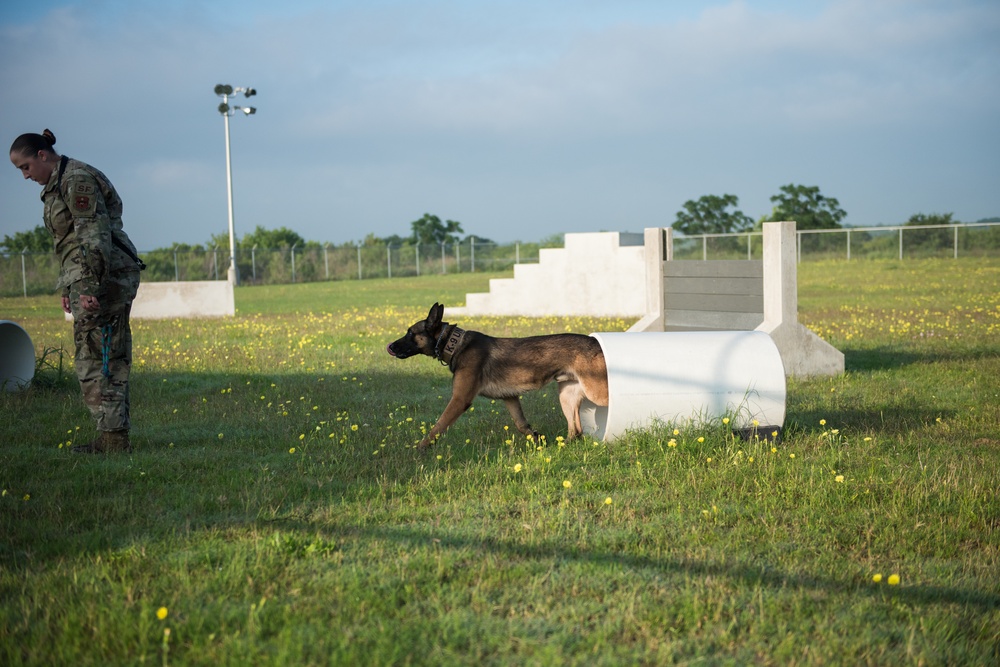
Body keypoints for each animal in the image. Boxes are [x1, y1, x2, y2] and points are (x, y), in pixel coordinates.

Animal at [388, 306, 608, 452]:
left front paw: (420, 448)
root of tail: (595, 342)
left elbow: (438, 425)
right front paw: (538, 439)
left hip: (596, 392)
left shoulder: (459, 399)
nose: (390, 346)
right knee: (576, 430)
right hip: (566, 396)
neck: (455, 343)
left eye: (410, 333)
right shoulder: (510, 397)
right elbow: (521, 424)